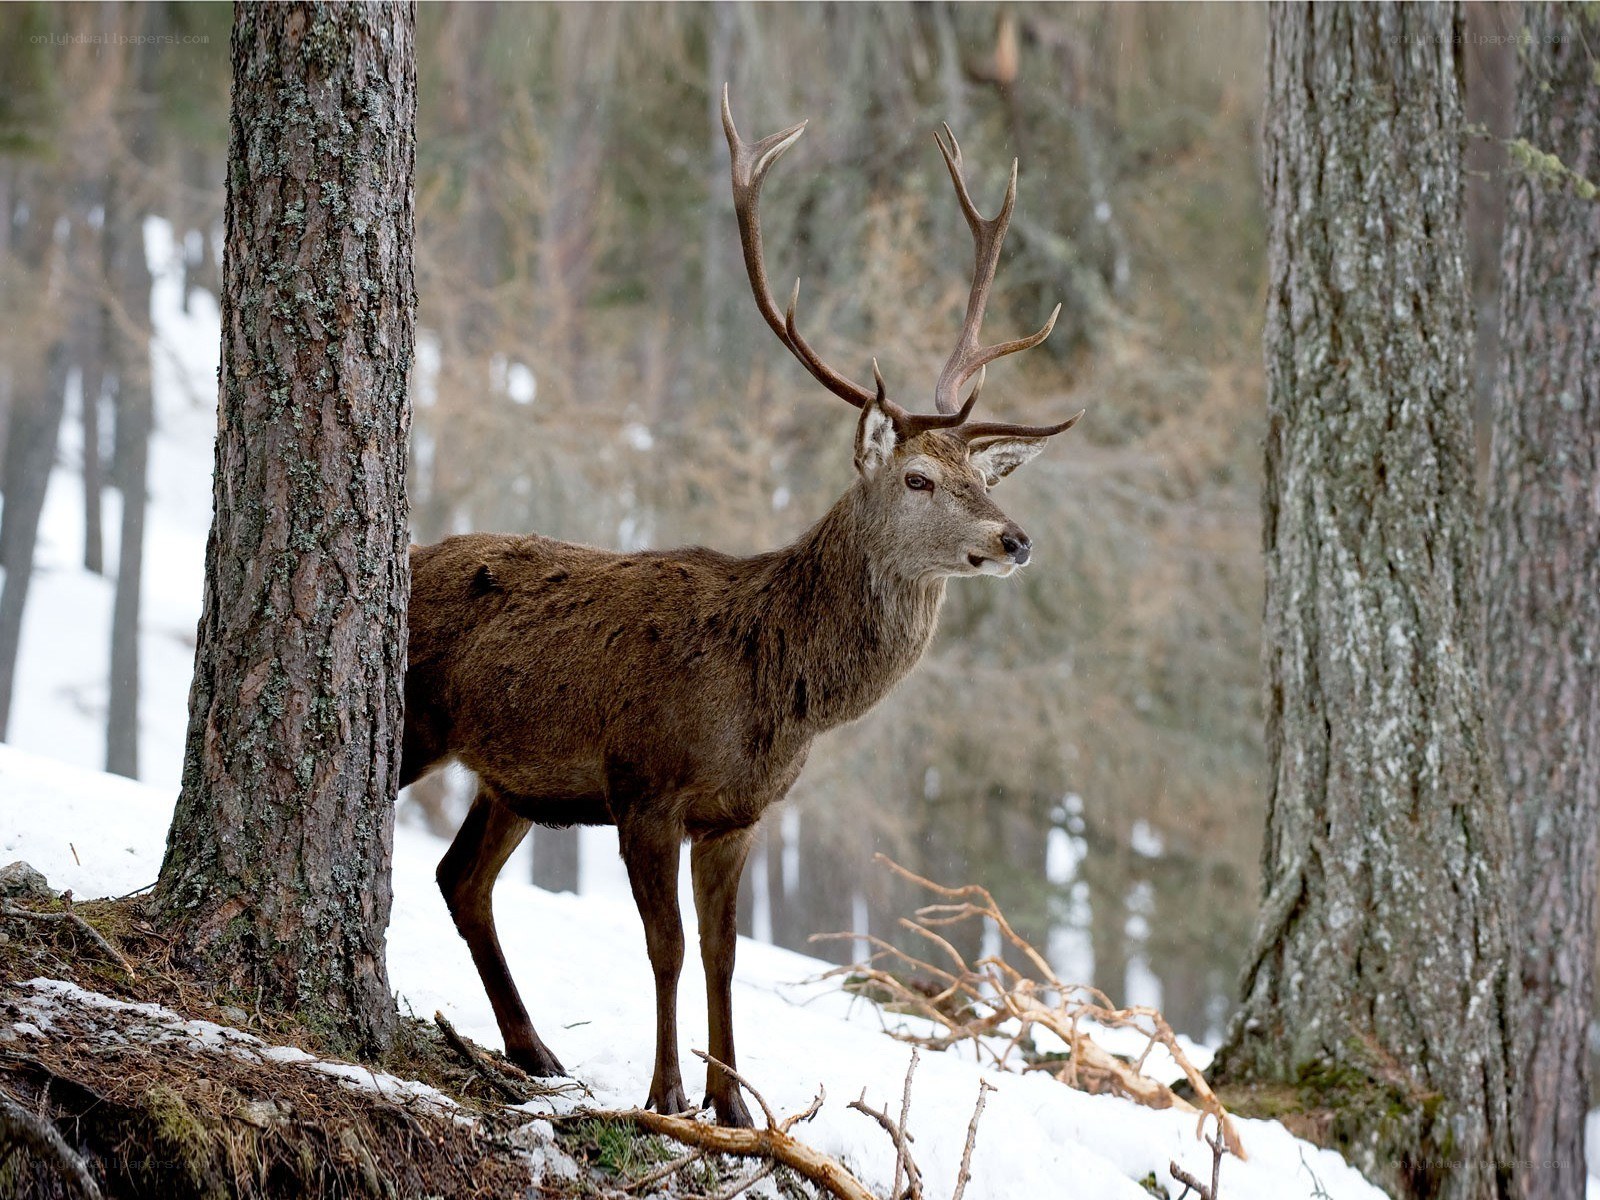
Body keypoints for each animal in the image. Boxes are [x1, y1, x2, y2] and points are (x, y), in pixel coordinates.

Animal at [401, 89, 1084, 1128]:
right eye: (920, 479)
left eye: (982, 478)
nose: (1015, 540)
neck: (771, 692)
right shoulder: (644, 785)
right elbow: (669, 947)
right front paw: (668, 1093)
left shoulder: (738, 814)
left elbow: (724, 954)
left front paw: (735, 1105)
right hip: (415, 725)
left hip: (513, 779)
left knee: (461, 877)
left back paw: (533, 1049)